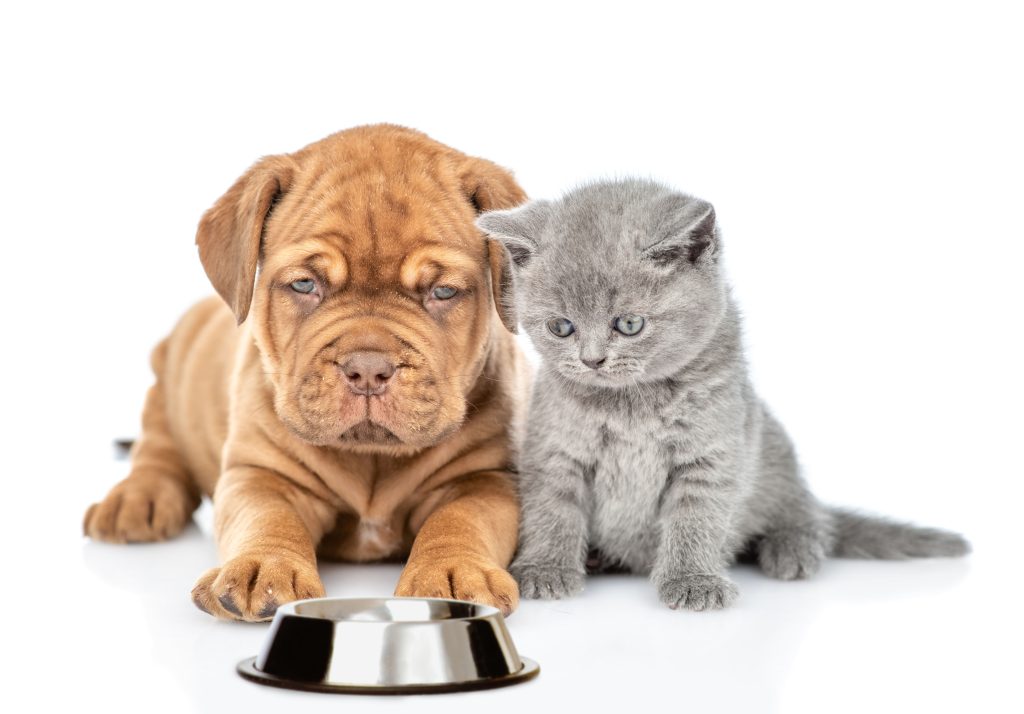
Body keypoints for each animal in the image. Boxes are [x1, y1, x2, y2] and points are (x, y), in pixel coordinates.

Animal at [82, 126, 528, 618]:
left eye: (444, 291)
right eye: (304, 284)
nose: (367, 369)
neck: (372, 458)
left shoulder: (485, 479)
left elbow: (461, 520)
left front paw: (451, 572)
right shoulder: (261, 474)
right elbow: (268, 518)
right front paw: (263, 565)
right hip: (167, 378)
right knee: (157, 449)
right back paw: (135, 500)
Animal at [475, 178, 970, 606]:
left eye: (629, 324)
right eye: (561, 327)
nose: (592, 360)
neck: (631, 404)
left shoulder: (712, 454)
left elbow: (697, 517)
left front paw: (692, 580)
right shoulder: (555, 449)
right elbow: (552, 509)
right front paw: (545, 569)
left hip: (775, 450)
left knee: (809, 513)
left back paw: (792, 549)